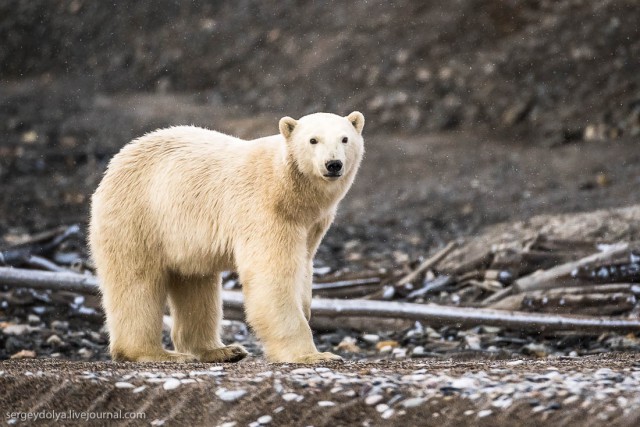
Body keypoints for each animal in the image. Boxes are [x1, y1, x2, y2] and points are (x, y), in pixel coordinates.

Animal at [89, 111, 364, 364]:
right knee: (136, 282)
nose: (333, 164)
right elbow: (272, 279)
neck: (287, 188)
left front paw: (306, 309)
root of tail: (117, 162)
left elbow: (304, 266)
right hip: (139, 217)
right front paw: (314, 355)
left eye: (345, 138)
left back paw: (221, 350)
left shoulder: (312, 224)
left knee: (196, 285)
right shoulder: (265, 212)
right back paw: (157, 353)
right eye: (313, 140)